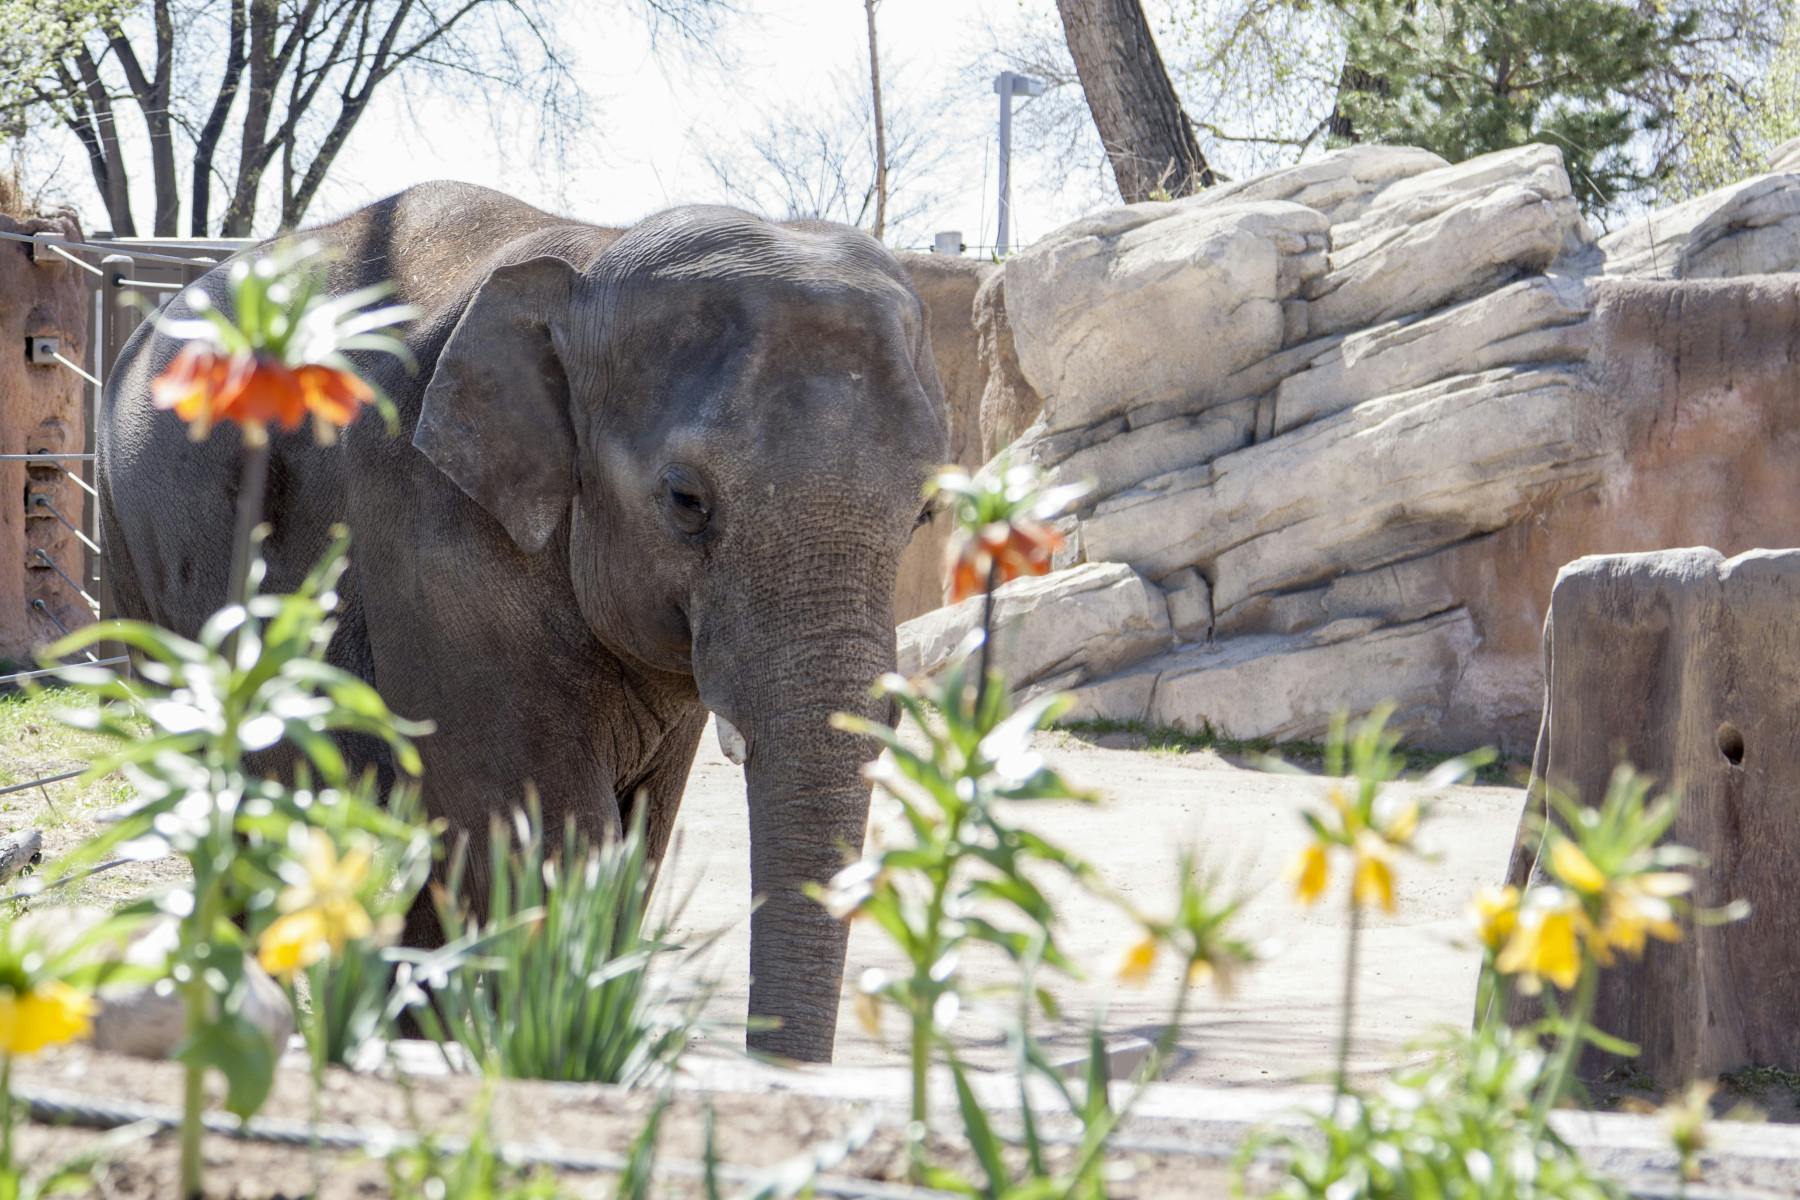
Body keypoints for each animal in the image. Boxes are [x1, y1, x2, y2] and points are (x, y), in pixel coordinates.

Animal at [96, 180, 950, 1057]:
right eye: (686, 501)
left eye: (926, 513)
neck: (592, 257)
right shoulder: (433, 540)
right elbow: (548, 829)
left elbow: (637, 837)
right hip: (137, 560)